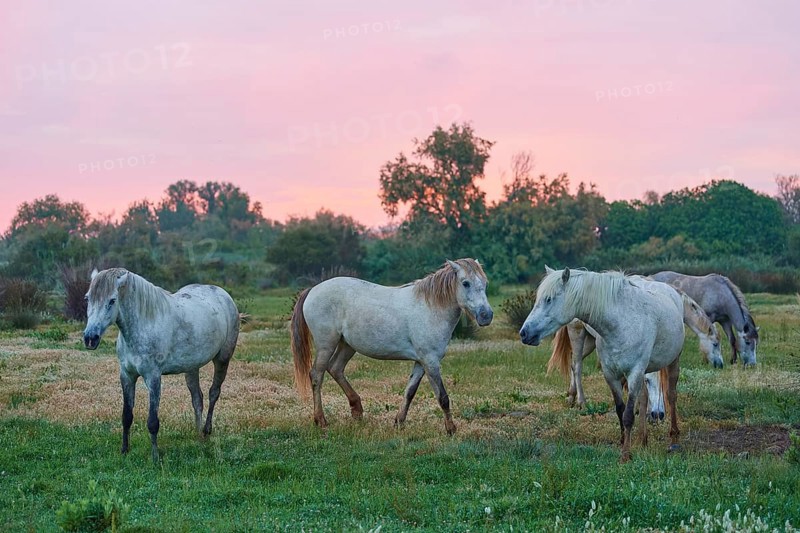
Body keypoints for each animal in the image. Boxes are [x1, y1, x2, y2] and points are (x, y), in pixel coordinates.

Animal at [83, 268, 240, 462]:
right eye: (87, 299)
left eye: (112, 300)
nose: (90, 338)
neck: (145, 324)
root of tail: (222, 294)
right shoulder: (127, 375)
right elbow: (126, 416)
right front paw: (124, 450)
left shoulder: (153, 377)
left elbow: (152, 421)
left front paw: (155, 457)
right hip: (192, 367)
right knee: (197, 398)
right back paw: (198, 435)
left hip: (223, 359)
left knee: (213, 393)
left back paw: (206, 431)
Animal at [290, 259, 493, 435]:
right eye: (465, 283)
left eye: (485, 282)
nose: (486, 315)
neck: (431, 308)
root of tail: (312, 290)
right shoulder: (431, 362)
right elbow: (443, 397)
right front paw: (450, 429)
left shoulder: (421, 363)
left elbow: (410, 392)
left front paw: (399, 422)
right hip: (326, 345)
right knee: (317, 375)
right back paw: (321, 420)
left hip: (347, 345)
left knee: (335, 368)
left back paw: (357, 410)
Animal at [520, 268, 684, 462]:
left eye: (549, 299)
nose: (524, 333)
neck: (622, 322)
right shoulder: (610, 374)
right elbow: (620, 410)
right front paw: (623, 441)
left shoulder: (635, 372)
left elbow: (629, 414)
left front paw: (625, 455)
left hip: (673, 360)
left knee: (671, 395)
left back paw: (674, 435)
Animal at [549, 282, 723, 410]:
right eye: (715, 344)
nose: (720, 364)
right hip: (577, 333)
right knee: (577, 365)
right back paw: (581, 401)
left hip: (591, 341)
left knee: (573, 363)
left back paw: (571, 396)